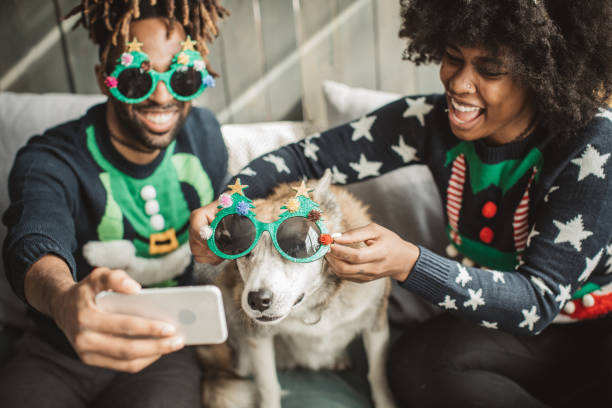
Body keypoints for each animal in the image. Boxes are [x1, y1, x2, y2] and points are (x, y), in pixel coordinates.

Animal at [197, 171, 396, 408]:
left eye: (298, 247)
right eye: (244, 252)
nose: (257, 300)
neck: (315, 305)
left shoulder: (377, 322)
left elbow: (377, 375)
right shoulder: (258, 338)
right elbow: (268, 385)